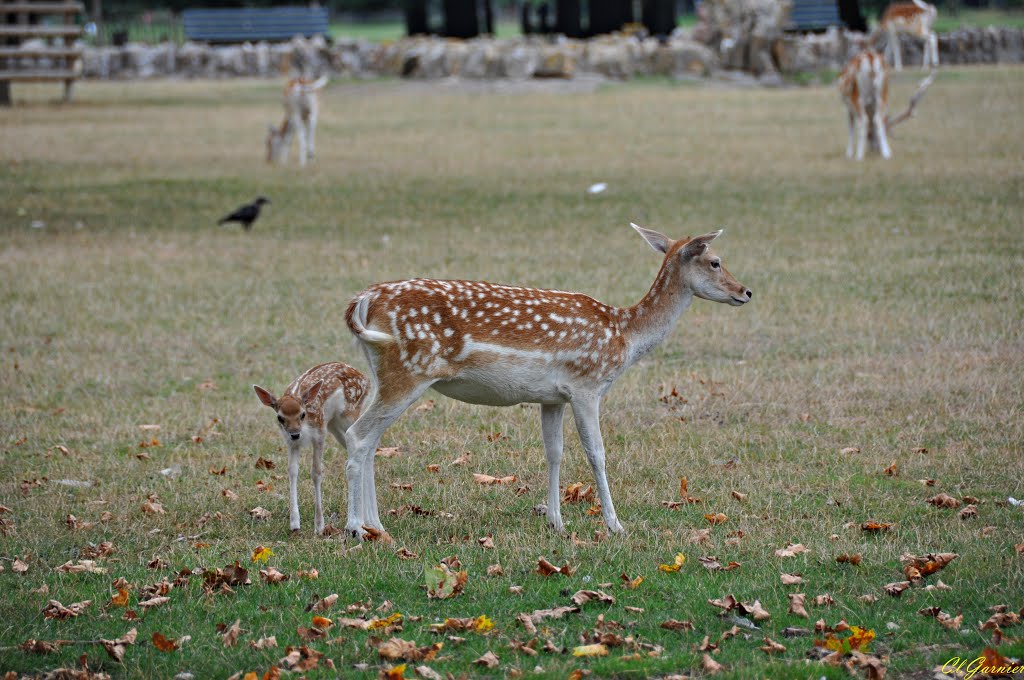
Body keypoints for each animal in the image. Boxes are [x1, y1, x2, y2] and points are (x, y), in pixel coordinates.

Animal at [253, 364, 370, 532]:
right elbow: (292, 471)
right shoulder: (291, 443)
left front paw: (319, 525)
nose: (295, 433)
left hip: (350, 413)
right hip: (334, 425)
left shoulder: (319, 433)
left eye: (302, 414)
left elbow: (316, 472)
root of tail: (364, 377)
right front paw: (294, 523)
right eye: (280, 417)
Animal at [344, 225, 753, 540]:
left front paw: (556, 521)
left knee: (371, 439)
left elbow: (553, 451)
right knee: (358, 435)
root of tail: (362, 300)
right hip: (409, 369)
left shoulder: (552, 397)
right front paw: (615, 525)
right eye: (715, 261)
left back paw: (376, 525)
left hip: (384, 370)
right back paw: (356, 528)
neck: (624, 337)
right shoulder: (587, 385)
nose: (746, 291)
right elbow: (596, 452)